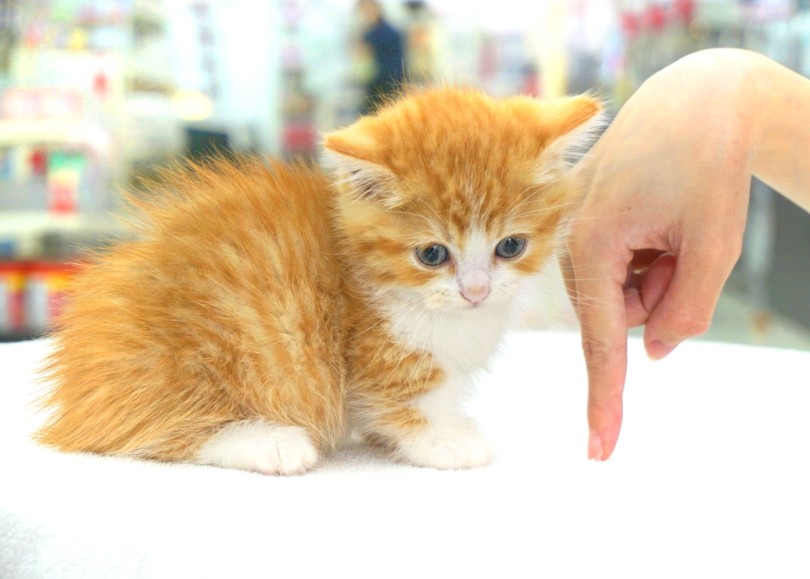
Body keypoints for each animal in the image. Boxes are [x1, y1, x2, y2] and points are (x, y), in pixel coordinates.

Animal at [36, 87, 600, 476]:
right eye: (432, 254)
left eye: (511, 246)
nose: (477, 291)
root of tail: (73, 395)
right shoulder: (377, 351)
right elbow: (407, 402)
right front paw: (443, 441)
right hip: (190, 361)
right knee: (152, 432)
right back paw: (272, 443)